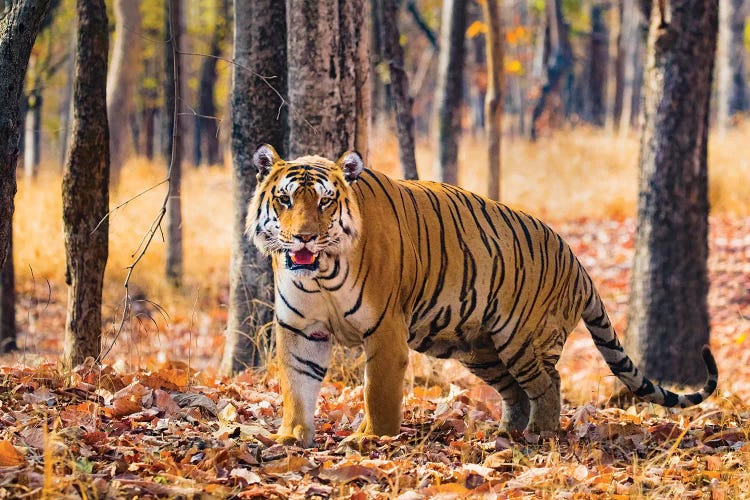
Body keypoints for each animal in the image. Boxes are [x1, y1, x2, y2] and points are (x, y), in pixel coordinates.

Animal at [250, 144, 720, 446]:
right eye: (285, 200)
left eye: (326, 203)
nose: (304, 237)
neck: (321, 273)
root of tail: (577, 262)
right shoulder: (300, 328)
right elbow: (296, 384)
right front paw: (291, 437)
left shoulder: (385, 331)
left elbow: (377, 392)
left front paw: (371, 440)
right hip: (479, 349)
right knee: (516, 391)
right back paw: (506, 433)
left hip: (521, 338)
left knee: (548, 383)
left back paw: (540, 434)